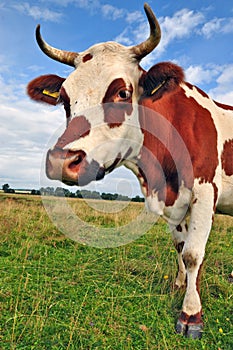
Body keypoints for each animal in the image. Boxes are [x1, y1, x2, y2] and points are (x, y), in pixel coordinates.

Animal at [27, 3, 233, 340]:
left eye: (122, 93)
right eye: (64, 100)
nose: (61, 160)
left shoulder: (205, 190)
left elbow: (193, 254)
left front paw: (191, 314)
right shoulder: (171, 201)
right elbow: (181, 246)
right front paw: (180, 287)